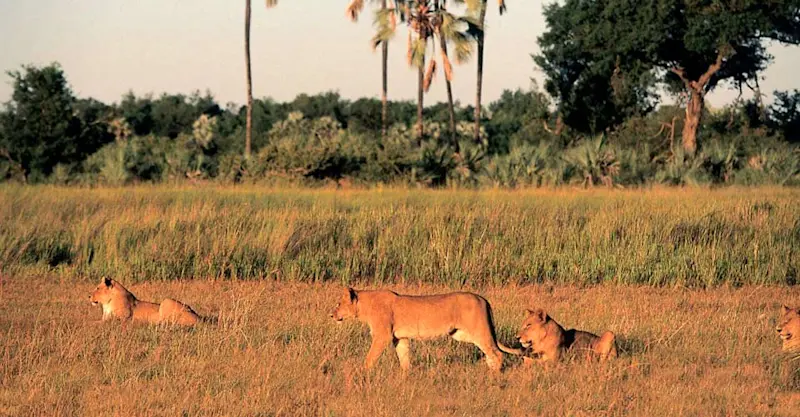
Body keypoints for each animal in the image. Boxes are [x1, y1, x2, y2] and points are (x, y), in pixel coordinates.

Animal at [329, 288, 522, 371]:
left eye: (338, 304)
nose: (331, 315)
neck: (364, 306)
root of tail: (483, 299)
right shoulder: (400, 338)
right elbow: (404, 358)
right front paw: (405, 378)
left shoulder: (382, 336)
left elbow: (370, 357)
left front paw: (363, 373)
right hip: (461, 334)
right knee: (491, 353)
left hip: (478, 331)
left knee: (497, 353)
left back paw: (494, 376)